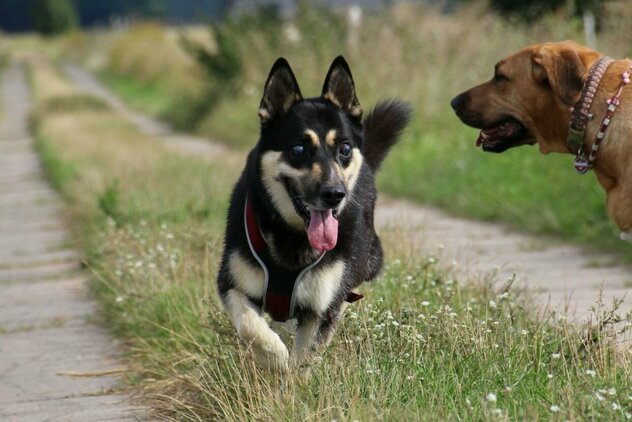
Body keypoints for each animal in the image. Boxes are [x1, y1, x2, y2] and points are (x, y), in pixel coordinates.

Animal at [217, 55, 412, 370]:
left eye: (344, 149)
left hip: (367, 261)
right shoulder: (231, 283)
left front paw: (291, 377)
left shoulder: (321, 306)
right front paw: (275, 358)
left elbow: (304, 356)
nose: (334, 195)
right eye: (298, 149)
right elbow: (251, 326)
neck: (293, 235)